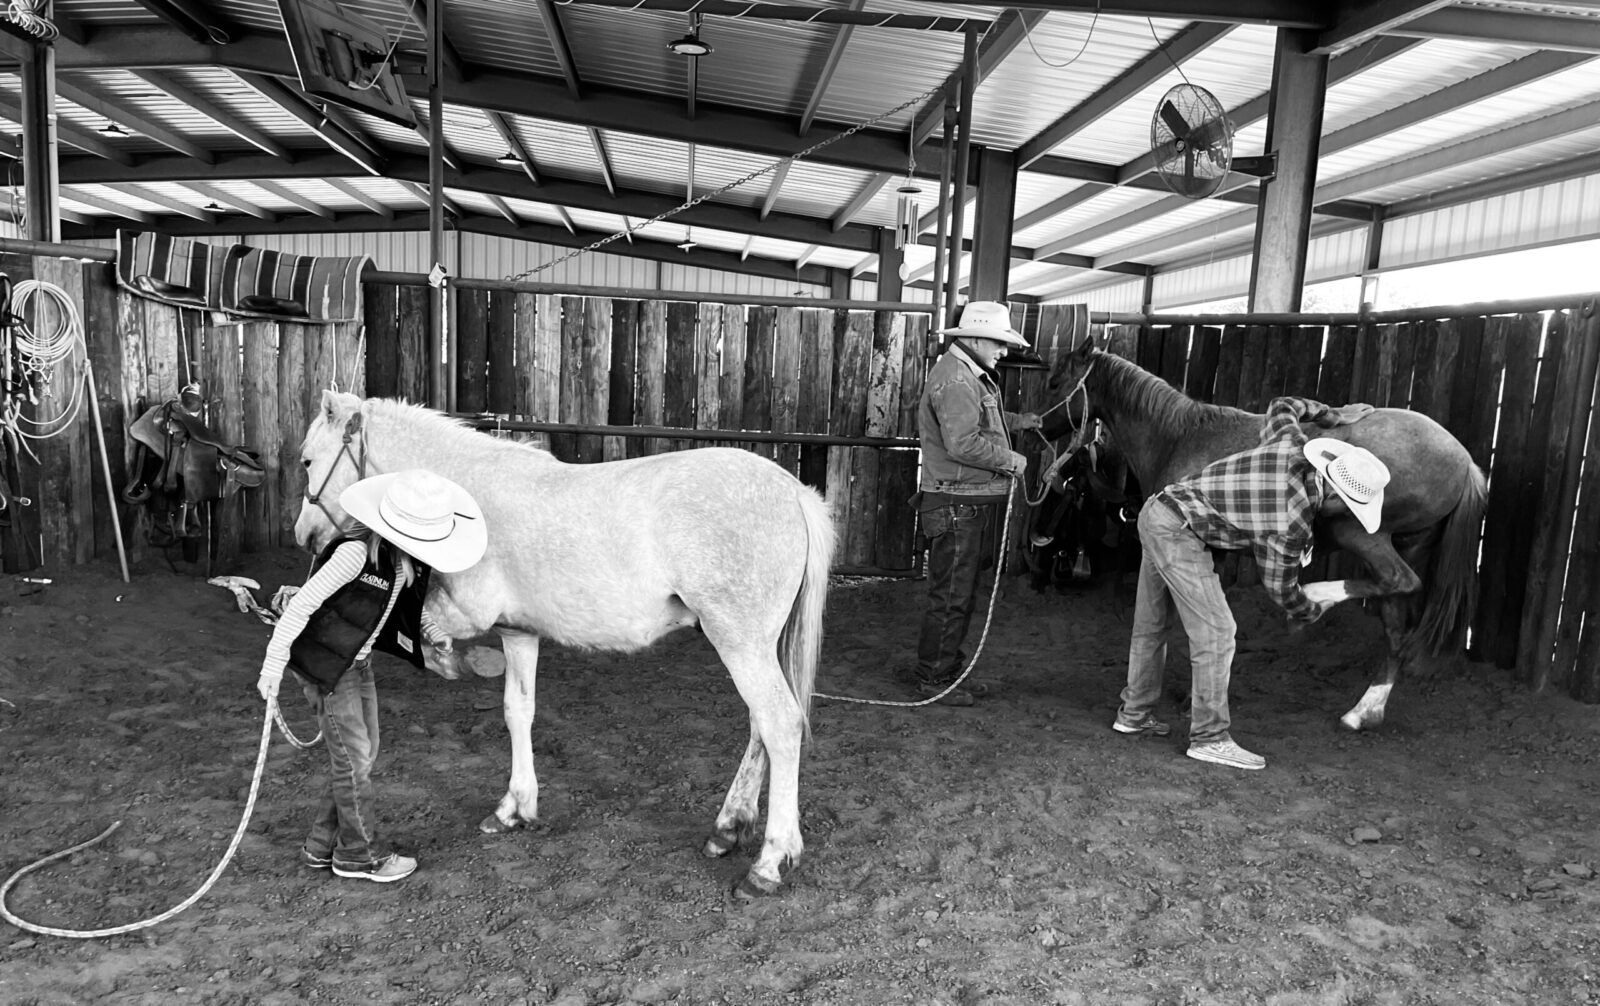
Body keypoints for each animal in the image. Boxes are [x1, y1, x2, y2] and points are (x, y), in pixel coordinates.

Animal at [294, 390, 835, 897]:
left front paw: (454, 661)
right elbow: (518, 711)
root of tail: (793, 493)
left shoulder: (467, 612)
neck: (463, 496)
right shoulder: (518, 632)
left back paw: (768, 864)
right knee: (759, 727)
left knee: (779, 725)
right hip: (755, 647)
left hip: (740, 643)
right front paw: (513, 808)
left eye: (306, 461)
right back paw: (728, 828)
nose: (305, 537)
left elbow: (427, 635)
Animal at [1044, 340, 1488, 731]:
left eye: (1054, 382)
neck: (1181, 436)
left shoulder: (1206, 547)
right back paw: (1363, 712)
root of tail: (1466, 462)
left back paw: (1316, 602)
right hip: (1407, 544)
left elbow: (1194, 622)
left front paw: (1193, 698)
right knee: (1396, 626)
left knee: (1400, 582)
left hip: (1362, 534)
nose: (1036, 426)